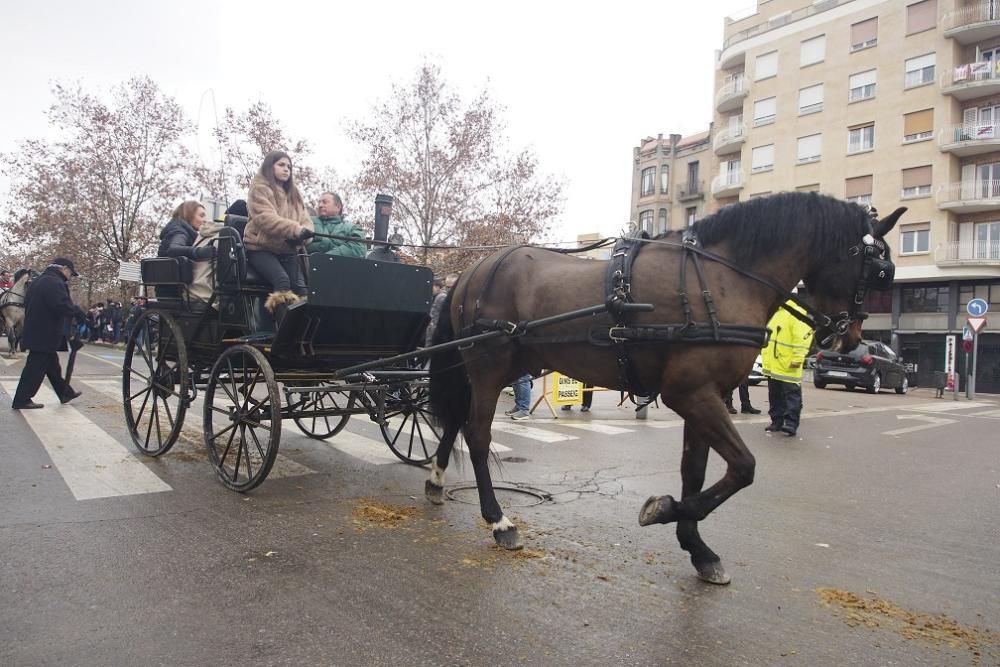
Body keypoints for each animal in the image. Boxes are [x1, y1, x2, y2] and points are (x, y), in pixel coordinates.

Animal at [426, 192, 904, 584]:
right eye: (880, 270)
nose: (848, 339)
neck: (723, 278)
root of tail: (473, 270)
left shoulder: (706, 397)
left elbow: (696, 471)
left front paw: (698, 548)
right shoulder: (691, 395)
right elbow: (743, 467)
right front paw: (666, 510)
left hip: (502, 368)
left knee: (456, 420)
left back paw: (435, 480)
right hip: (488, 367)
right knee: (477, 434)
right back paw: (499, 521)